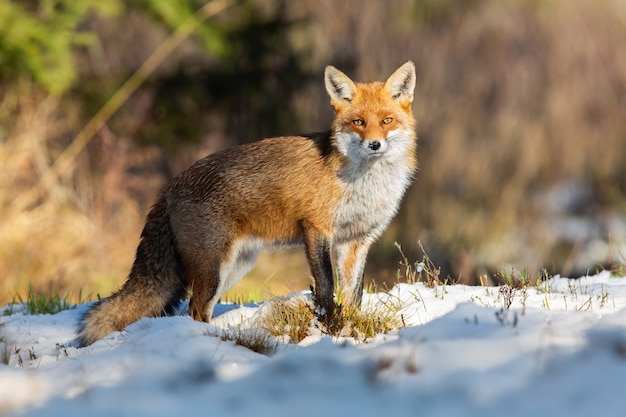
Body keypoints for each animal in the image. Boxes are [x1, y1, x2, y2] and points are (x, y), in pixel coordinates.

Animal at [77, 61, 414, 346]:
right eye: (358, 122)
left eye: (387, 121)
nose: (375, 144)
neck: (363, 184)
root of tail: (169, 187)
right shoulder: (317, 228)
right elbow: (326, 288)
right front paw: (327, 327)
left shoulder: (356, 240)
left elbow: (354, 295)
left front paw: (351, 327)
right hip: (214, 268)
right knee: (195, 308)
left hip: (235, 267)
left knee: (195, 309)